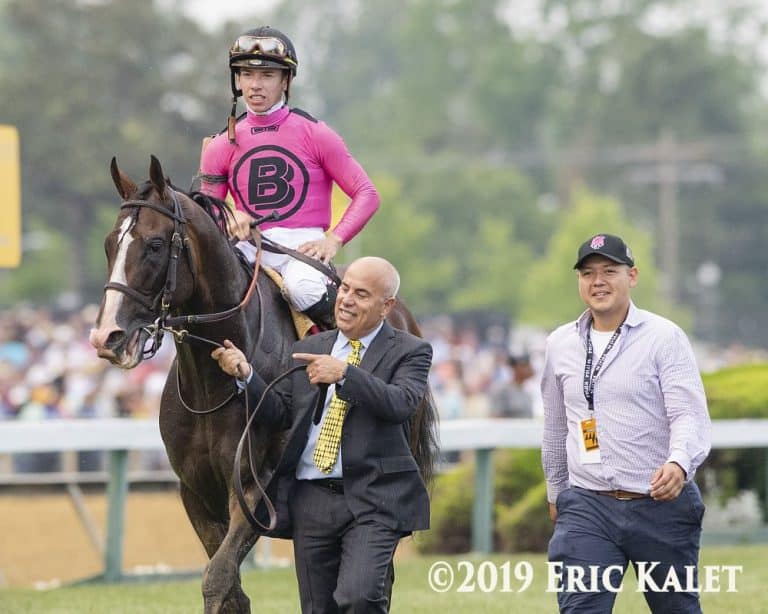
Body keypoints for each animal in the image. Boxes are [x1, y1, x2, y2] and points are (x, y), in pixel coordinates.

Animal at [88, 156, 438, 612]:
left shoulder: (256, 488)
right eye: (110, 244)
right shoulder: (195, 493)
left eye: (155, 245)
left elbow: (217, 578)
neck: (211, 388)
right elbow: (231, 589)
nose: (107, 337)